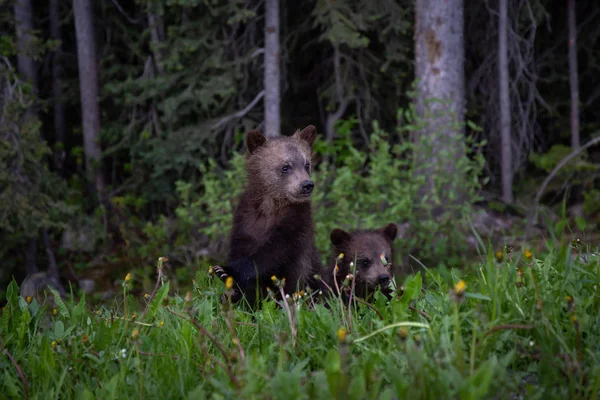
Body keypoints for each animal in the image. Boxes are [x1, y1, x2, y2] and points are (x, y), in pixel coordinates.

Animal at [212, 125, 324, 306]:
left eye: (306, 164)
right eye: (286, 166)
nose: (307, 185)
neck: (271, 205)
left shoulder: (295, 222)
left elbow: (273, 253)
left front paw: (227, 271)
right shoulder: (245, 219)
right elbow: (240, 246)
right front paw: (228, 282)